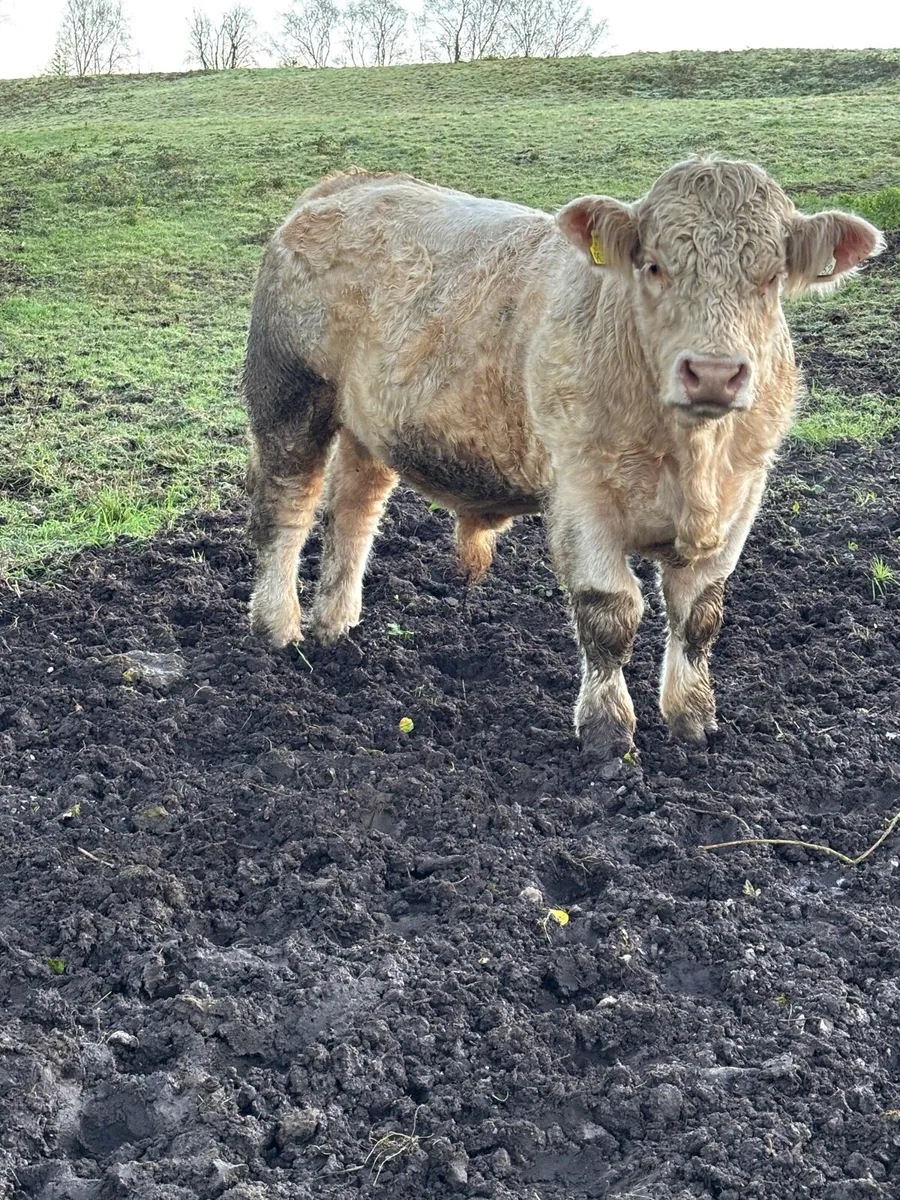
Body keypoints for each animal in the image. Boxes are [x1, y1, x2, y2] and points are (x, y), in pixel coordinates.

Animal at [242, 158, 882, 760]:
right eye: (654, 266)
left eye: (771, 276)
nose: (714, 372)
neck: (692, 458)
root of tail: (348, 183)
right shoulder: (580, 495)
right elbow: (610, 614)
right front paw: (608, 733)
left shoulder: (741, 498)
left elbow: (699, 615)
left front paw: (693, 719)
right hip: (289, 397)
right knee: (287, 511)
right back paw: (279, 627)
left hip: (370, 427)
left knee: (354, 510)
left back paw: (336, 625)